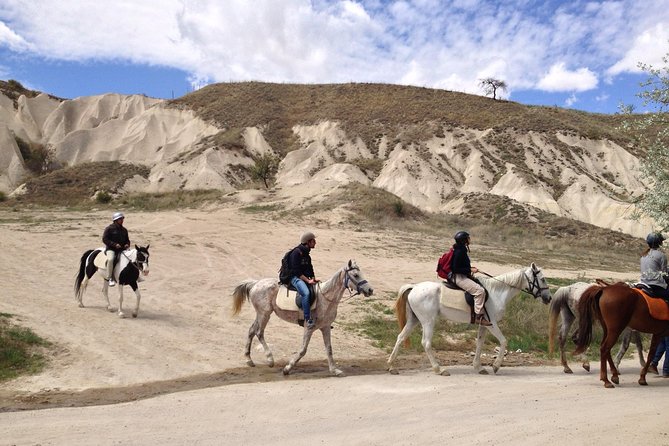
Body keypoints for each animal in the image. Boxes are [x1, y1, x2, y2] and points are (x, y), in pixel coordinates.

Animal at [232, 258, 374, 376]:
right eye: (355, 275)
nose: (370, 290)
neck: (326, 298)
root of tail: (256, 283)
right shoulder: (309, 328)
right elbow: (303, 350)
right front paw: (287, 368)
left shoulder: (325, 327)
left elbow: (329, 349)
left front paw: (334, 370)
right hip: (265, 314)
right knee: (259, 332)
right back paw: (270, 359)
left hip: (261, 314)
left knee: (251, 330)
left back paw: (249, 360)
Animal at [384, 264, 552, 374]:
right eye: (543, 279)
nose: (548, 298)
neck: (497, 292)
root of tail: (414, 287)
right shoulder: (492, 324)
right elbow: (504, 341)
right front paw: (496, 366)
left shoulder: (484, 324)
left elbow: (479, 343)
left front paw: (478, 367)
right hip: (428, 321)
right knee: (426, 343)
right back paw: (439, 369)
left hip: (414, 320)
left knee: (400, 337)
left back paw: (392, 366)